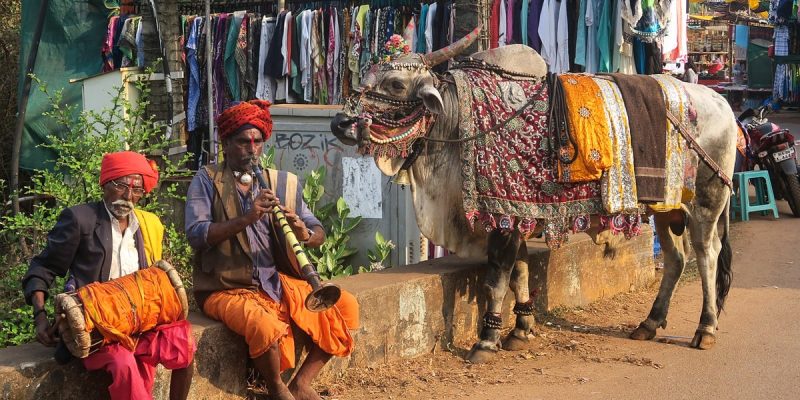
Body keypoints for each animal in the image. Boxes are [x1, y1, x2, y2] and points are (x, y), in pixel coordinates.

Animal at [332, 27, 736, 366]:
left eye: (396, 84)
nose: (340, 123)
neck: (460, 120)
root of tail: (722, 103)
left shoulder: (505, 218)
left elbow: (497, 278)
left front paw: (487, 339)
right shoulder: (520, 216)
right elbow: (521, 273)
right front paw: (521, 330)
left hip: (707, 202)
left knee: (707, 255)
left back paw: (705, 328)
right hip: (668, 209)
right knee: (676, 259)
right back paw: (650, 323)